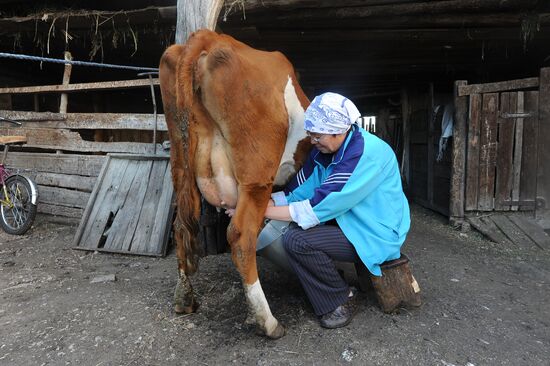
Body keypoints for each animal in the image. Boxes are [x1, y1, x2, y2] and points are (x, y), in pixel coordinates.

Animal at [160, 30, 312, 338]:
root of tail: (209, 37)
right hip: (256, 175)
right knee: (241, 236)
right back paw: (268, 322)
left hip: (180, 166)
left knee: (181, 227)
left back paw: (185, 299)